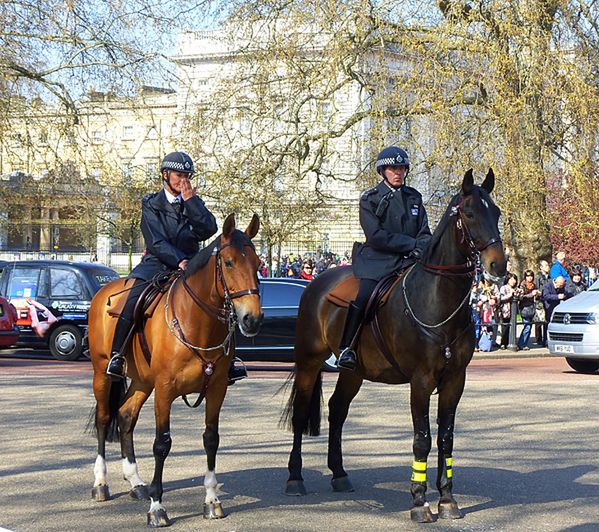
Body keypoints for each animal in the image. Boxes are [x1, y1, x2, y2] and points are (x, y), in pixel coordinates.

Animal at [87, 214, 262, 524]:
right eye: (229, 262)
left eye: (258, 263)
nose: (251, 319)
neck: (197, 323)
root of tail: (104, 289)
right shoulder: (165, 390)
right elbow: (162, 444)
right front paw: (157, 506)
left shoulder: (216, 389)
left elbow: (211, 440)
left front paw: (211, 499)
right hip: (102, 374)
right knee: (104, 418)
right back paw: (101, 482)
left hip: (143, 381)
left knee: (126, 416)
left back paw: (136, 481)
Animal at [284, 171, 508, 524]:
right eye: (470, 214)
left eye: (496, 213)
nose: (499, 265)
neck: (436, 299)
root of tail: (317, 282)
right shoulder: (421, 381)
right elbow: (422, 439)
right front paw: (419, 501)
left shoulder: (454, 380)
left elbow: (446, 438)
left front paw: (447, 499)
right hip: (308, 362)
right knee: (301, 413)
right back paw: (295, 478)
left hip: (354, 372)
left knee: (338, 409)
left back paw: (339, 473)